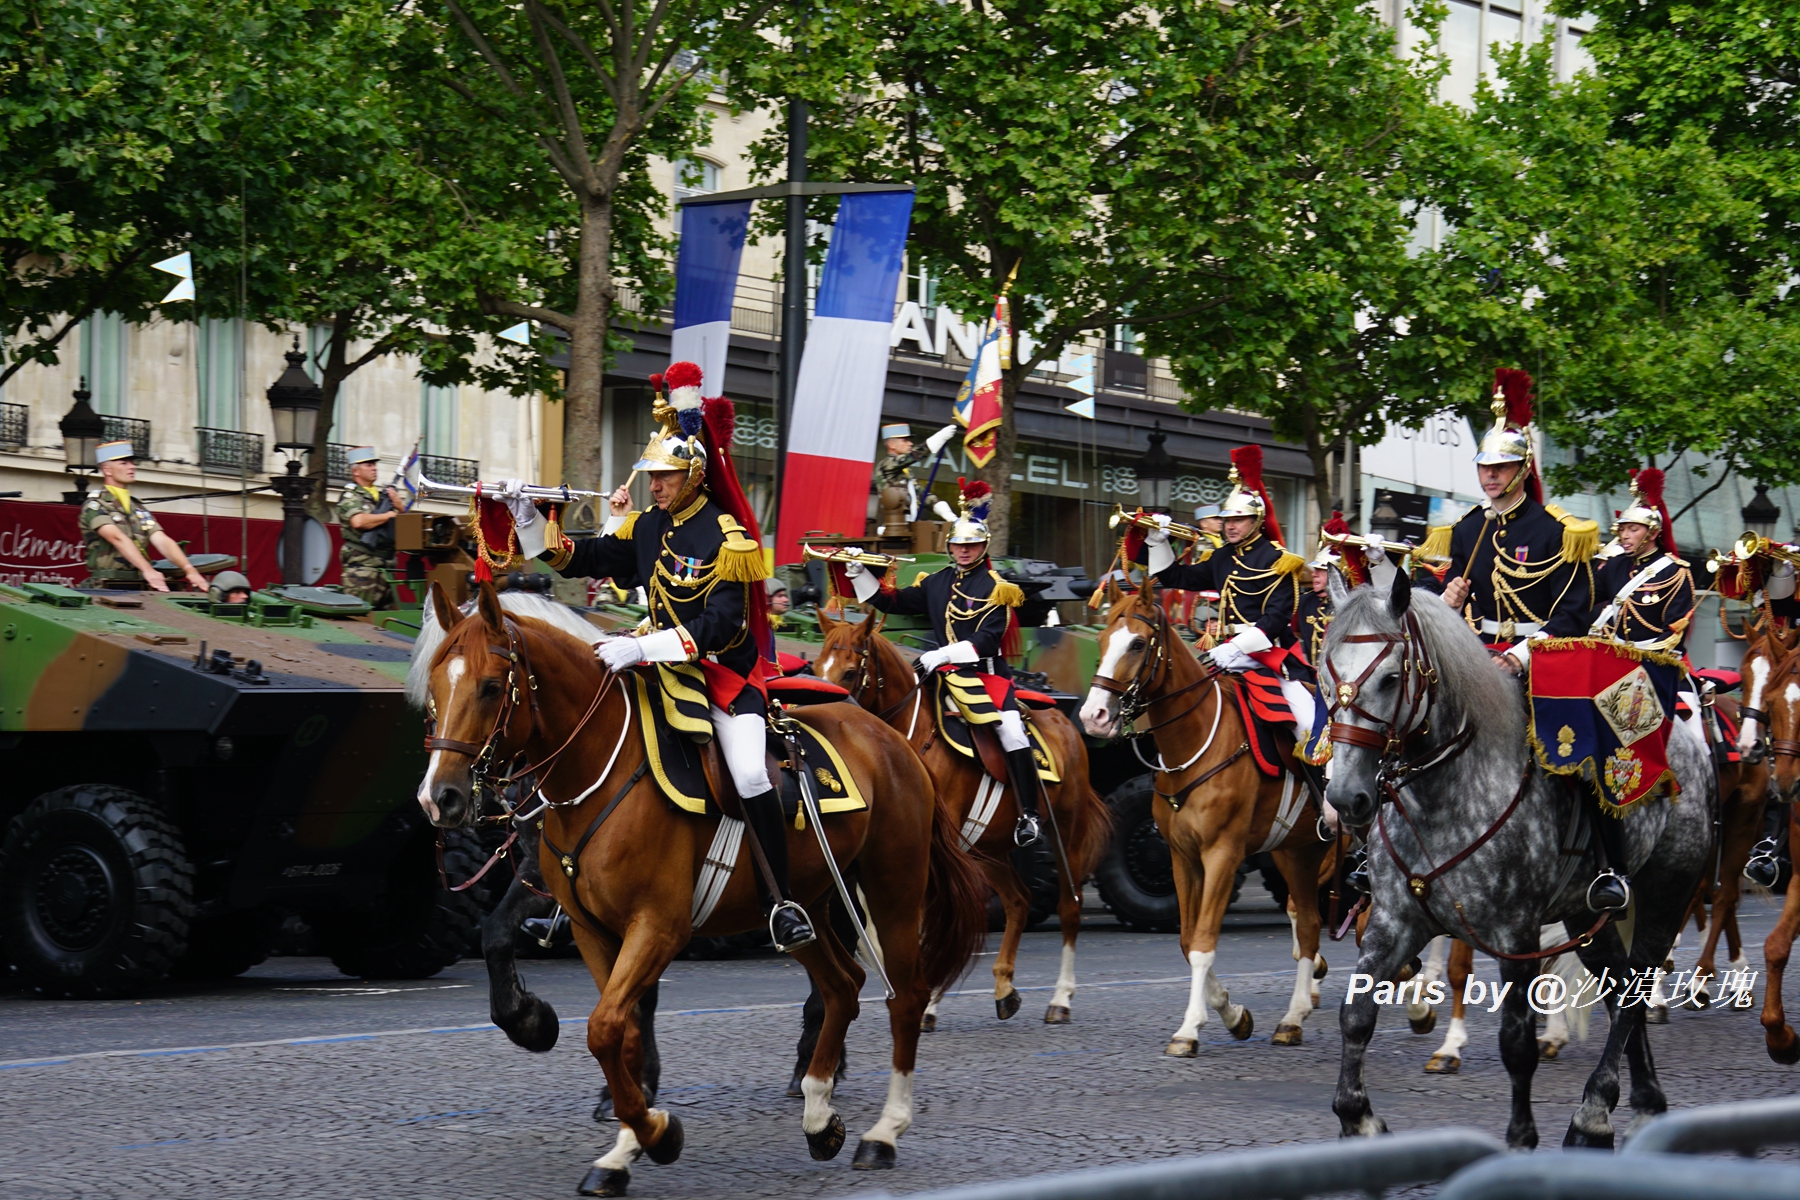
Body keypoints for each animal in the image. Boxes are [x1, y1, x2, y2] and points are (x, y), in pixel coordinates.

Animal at [415, 582, 993, 1194]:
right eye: (433, 686)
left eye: (490, 686)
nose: (440, 797)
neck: (598, 772)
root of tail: (890, 737)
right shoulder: (592, 930)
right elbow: (618, 1033)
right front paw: (626, 1143)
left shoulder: (659, 927)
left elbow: (604, 1028)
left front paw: (654, 1134)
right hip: (808, 903)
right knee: (843, 985)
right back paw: (818, 1113)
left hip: (893, 890)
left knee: (904, 997)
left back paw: (883, 1132)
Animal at [813, 615, 1108, 1029]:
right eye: (815, 668)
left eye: (851, 671)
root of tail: (1061, 722)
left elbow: (934, 920)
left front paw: (925, 999)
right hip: (986, 848)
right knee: (1019, 900)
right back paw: (1003, 988)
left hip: (1067, 831)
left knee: (1070, 906)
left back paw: (1061, 998)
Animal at [1072, 586, 1332, 1057]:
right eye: (1101, 640)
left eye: (1138, 643)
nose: (1093, 717)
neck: (1194, 745)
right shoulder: (1181, 856)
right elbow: (1188, 939)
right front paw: (1232, 1013)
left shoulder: (1222, 854)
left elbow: (1205, 942)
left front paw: (1189, 1028)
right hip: (1297, 851)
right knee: (1308, 922)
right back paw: (1293, 1016)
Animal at [1324, 568, 1713, 1151]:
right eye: (1326, 675)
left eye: (1391, 678)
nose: (1346, 799)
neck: (1444, 795)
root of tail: (1689, 735)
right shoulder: (1394, 924)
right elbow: (1355, 1015)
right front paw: (1359, 1118)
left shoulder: (1513, 935)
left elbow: (1516, 1044)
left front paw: (1520, 1138)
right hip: (1586, 915)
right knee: (1621, 987)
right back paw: (1638, 1103)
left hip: (1668, 891)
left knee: (1638, 987)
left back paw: (1593, 1111)